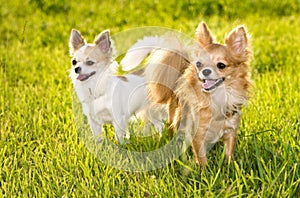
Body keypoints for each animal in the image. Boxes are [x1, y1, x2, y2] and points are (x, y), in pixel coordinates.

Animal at [120, 20, 252, 165]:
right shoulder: (198, 135)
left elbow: (229, 153)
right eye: (199, 64)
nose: (205, 71)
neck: (218, 97)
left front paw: (230, 167)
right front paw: (205, 171)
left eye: (221, 65)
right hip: (176, 116)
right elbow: (202, 158)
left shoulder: (231, 131)